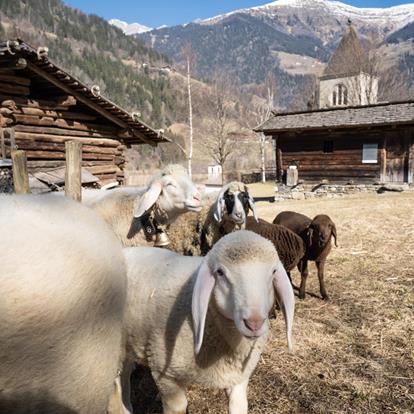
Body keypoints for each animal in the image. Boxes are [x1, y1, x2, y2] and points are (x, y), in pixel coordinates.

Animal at [119, 231, 294, 412]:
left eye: (273, 271)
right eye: (220, 272)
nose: (254, 323)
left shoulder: (238, 377)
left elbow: (238, 405)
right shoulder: (165, 375)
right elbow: (179, 406)